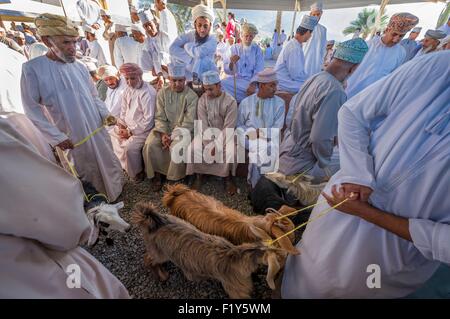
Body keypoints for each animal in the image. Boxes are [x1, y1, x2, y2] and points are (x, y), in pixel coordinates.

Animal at [132, 202, 284, 300]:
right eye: (278, 257)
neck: (239, 256)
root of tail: (154, 222)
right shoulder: (236, 289)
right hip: (160, 252)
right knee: (148, 259)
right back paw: (162, 275)